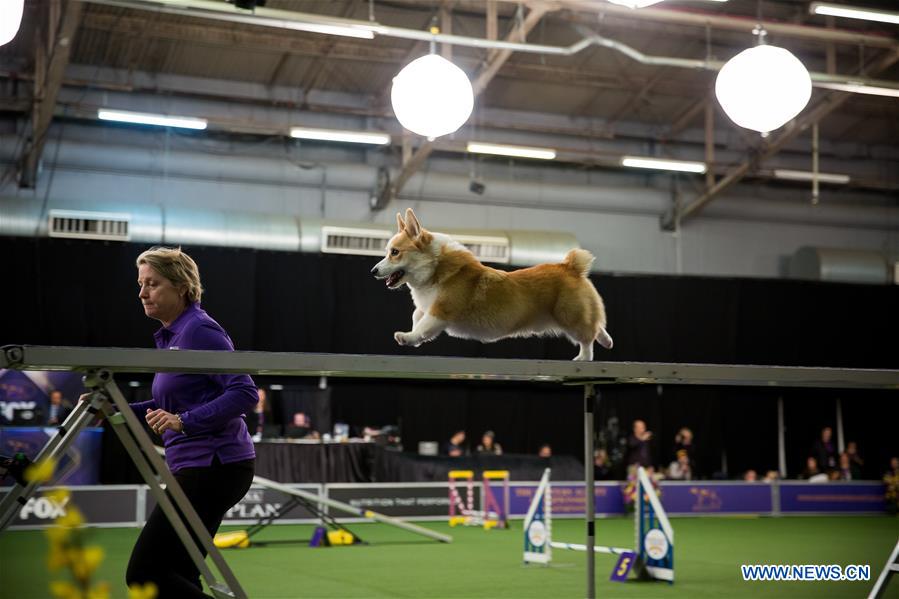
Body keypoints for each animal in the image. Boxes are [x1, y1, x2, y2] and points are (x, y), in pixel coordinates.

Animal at [370, 210, 616, 360]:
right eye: (387, 251)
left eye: (394, 252)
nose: (373, 271)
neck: (435, 268)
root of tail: (571, 266)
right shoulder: (425, 307)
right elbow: (416, 317)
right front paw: (412, 335)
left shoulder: (441, 311)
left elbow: (423, 327)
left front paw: (407, 338)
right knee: (597, 326)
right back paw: (607, 341)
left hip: (569, 316)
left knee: (587, 336)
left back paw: (583, 357)